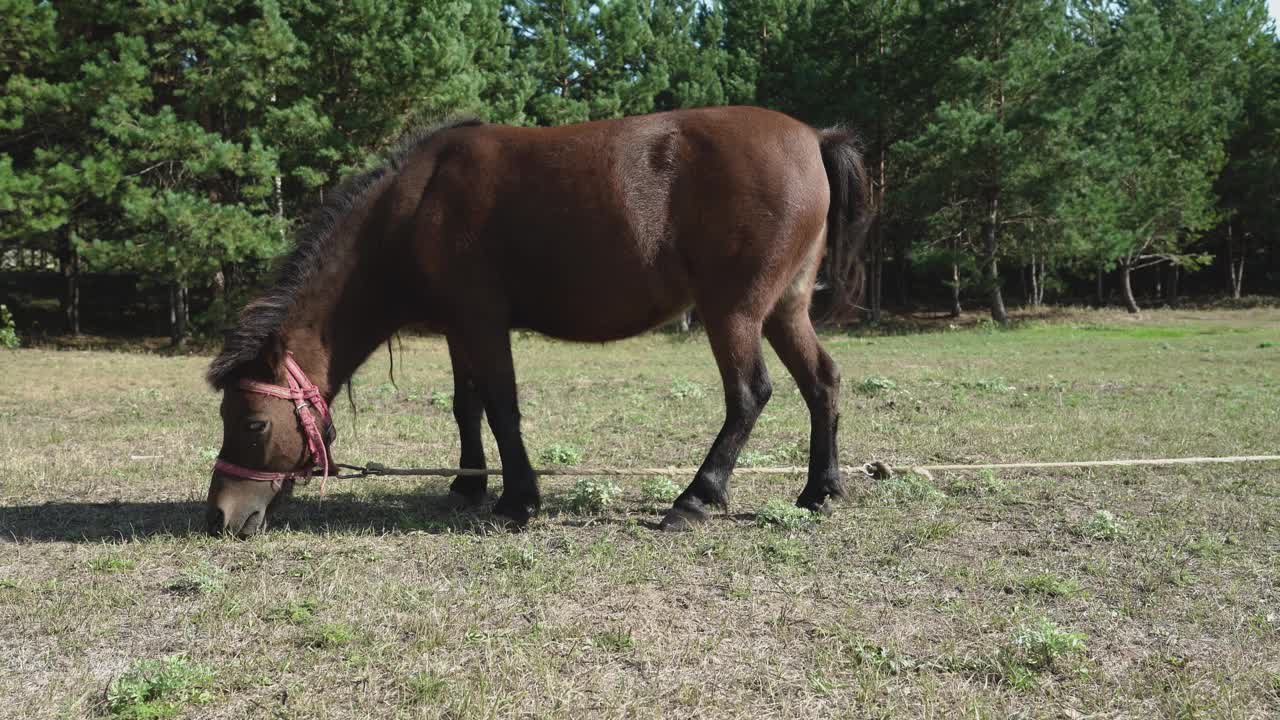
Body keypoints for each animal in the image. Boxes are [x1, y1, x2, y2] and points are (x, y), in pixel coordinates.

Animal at [207, 105, 870, 532]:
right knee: (822, 382)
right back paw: (820, 489)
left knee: (749, 395)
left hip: (732, 312)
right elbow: (467, 405)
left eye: (254, 424)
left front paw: (518, 500)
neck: (415, 207)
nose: (220, 515)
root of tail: (813, 137)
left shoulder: (482, 321)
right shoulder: (458, 327)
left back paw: (696, 498)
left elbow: (501, 405)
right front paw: (469, 484)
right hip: (784, 310)